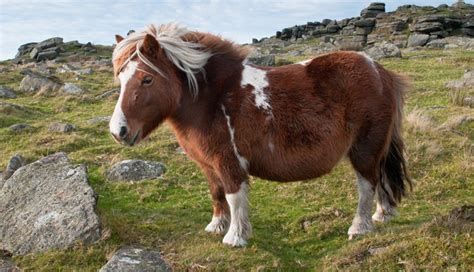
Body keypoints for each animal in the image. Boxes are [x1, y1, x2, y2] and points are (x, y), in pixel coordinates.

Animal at [110, 24, 412, 248]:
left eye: (147, 79)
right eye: (121, 79)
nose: (118, 131)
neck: (212, 99)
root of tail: (380, 71)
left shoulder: (229, 162)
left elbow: (234, 196)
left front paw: (234, 237)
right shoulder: (208, 164)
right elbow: (216, 192)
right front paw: (216, 225)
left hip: (365, 149)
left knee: (367, 185)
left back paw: (360, 227)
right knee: (380, 181)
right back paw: (383, 215)